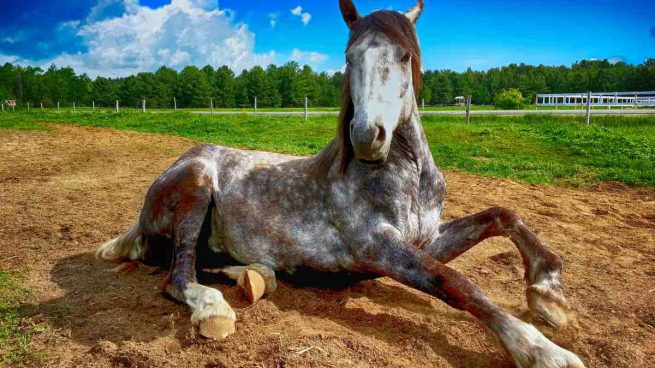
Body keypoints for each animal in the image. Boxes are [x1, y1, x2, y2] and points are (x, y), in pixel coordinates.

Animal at [100, 1, 588, 366]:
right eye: (350, 58)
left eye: (405, 56)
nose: (367, 136)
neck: (406, 177)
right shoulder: (376, 246)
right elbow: (455, 282)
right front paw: (541, 350)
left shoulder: (426, 238)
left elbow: (503, 216)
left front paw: (549, 295)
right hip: (197, 184)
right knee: (178, 275)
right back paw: (214, 309)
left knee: (206, 262)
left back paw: (257, 276)